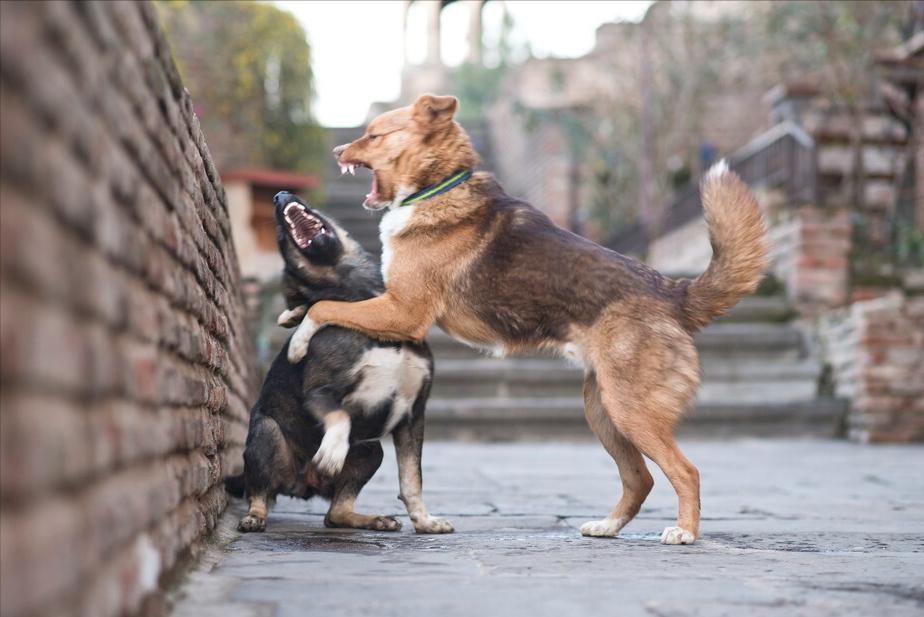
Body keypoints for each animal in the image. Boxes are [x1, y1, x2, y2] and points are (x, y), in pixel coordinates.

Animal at [226, 191, 452, 536]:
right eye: (280, 239)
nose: (279, 195)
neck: (370, 311)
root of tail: (302, 484)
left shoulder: (413, 415)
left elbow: (412, 478)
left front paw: (425, 522)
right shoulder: (320, 392)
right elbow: (340, 415)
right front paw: (332, 451)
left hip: (370, 450)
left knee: (335, 512)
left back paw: (372, 520)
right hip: (268, 434)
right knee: (258, 489)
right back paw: (255, 516)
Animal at [292, 92, 768, 544]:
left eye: (374, 135)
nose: (336, 150)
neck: (438, 186)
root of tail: (672, 292)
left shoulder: (404, 311)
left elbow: (325, 307)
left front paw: (298, 341)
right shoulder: (391, 305)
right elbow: (324, 304)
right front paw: (291, 317)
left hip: (630, 410)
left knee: (685, 471)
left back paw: (684, 532)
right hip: (603, 410)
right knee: (640, 479)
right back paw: (608, 526)